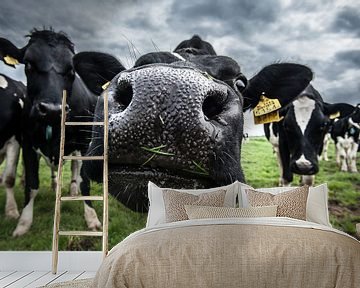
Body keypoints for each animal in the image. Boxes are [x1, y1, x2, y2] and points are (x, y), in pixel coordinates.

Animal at [0, 29, 124, 236]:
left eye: (71, 70)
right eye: (29, 64)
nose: (51, 109)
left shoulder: (84, 144)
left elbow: (84, 182)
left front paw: (92, 218)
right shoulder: (27, 143)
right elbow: (31, 184)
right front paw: (23, 223)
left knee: (74, 169)